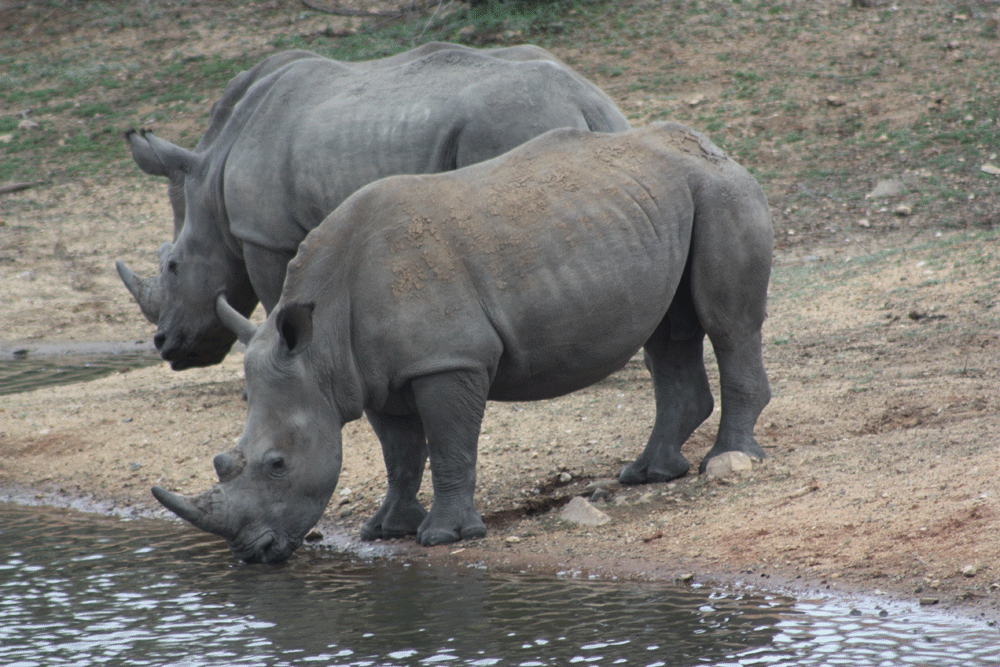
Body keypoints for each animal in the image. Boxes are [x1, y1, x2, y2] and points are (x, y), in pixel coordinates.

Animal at [116, 42, 630, 370]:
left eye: (174, 267)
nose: (165, 345)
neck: (211, 175)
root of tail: (585, 97)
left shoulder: (264, 234)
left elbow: (273, 292)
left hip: (511, 121)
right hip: (589, 120)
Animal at [151, 122, 774, 563]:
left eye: (277, 464)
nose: (251, 553)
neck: (319, 343)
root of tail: (719, 150)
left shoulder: (448, 361)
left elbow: (450, 444)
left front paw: (444, 538)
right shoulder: (370, 375)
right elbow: (400, 452)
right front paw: (386, 529)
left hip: (722, 193)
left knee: (727, 325)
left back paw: (730, 460)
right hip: (662, 206)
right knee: (667, 334)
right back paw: (648, 474)